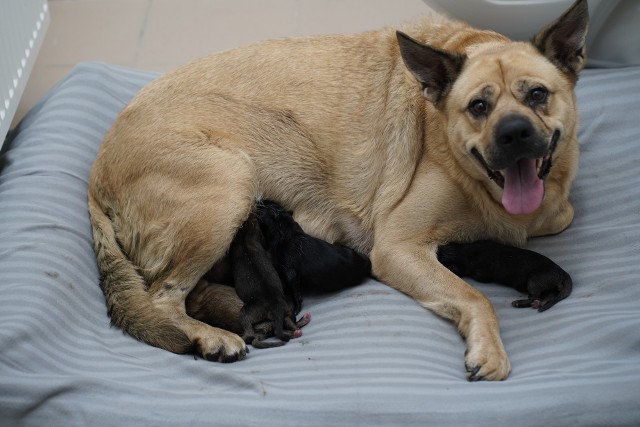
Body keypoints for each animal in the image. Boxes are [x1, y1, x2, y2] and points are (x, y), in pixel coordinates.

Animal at [438, 241, 572, 310]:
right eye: (445, 245)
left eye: (442, 258)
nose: (438, 248)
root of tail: (562, 271)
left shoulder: (482, 272)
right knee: (547, 296)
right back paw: (537, 304)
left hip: (535, 280)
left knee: (536, 296)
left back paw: (519, 303)